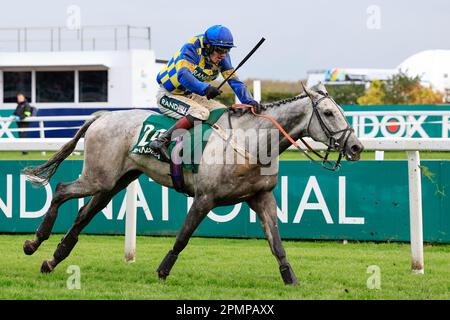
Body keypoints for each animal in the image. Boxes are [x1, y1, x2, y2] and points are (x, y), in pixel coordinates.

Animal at [22, 83, 364, 284]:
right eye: (329, 113)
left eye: (342, 111)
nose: (356, 147)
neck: (251, 143)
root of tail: (102, 116)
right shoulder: (205, 198)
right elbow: (183, 236)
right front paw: (162, 271)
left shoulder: (262, 197)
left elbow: (276, 244)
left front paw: (290, 278)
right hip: (98, 177)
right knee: (62, 191)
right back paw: (34, 242)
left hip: (114, 182)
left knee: (83, 215)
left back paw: (53, 259)